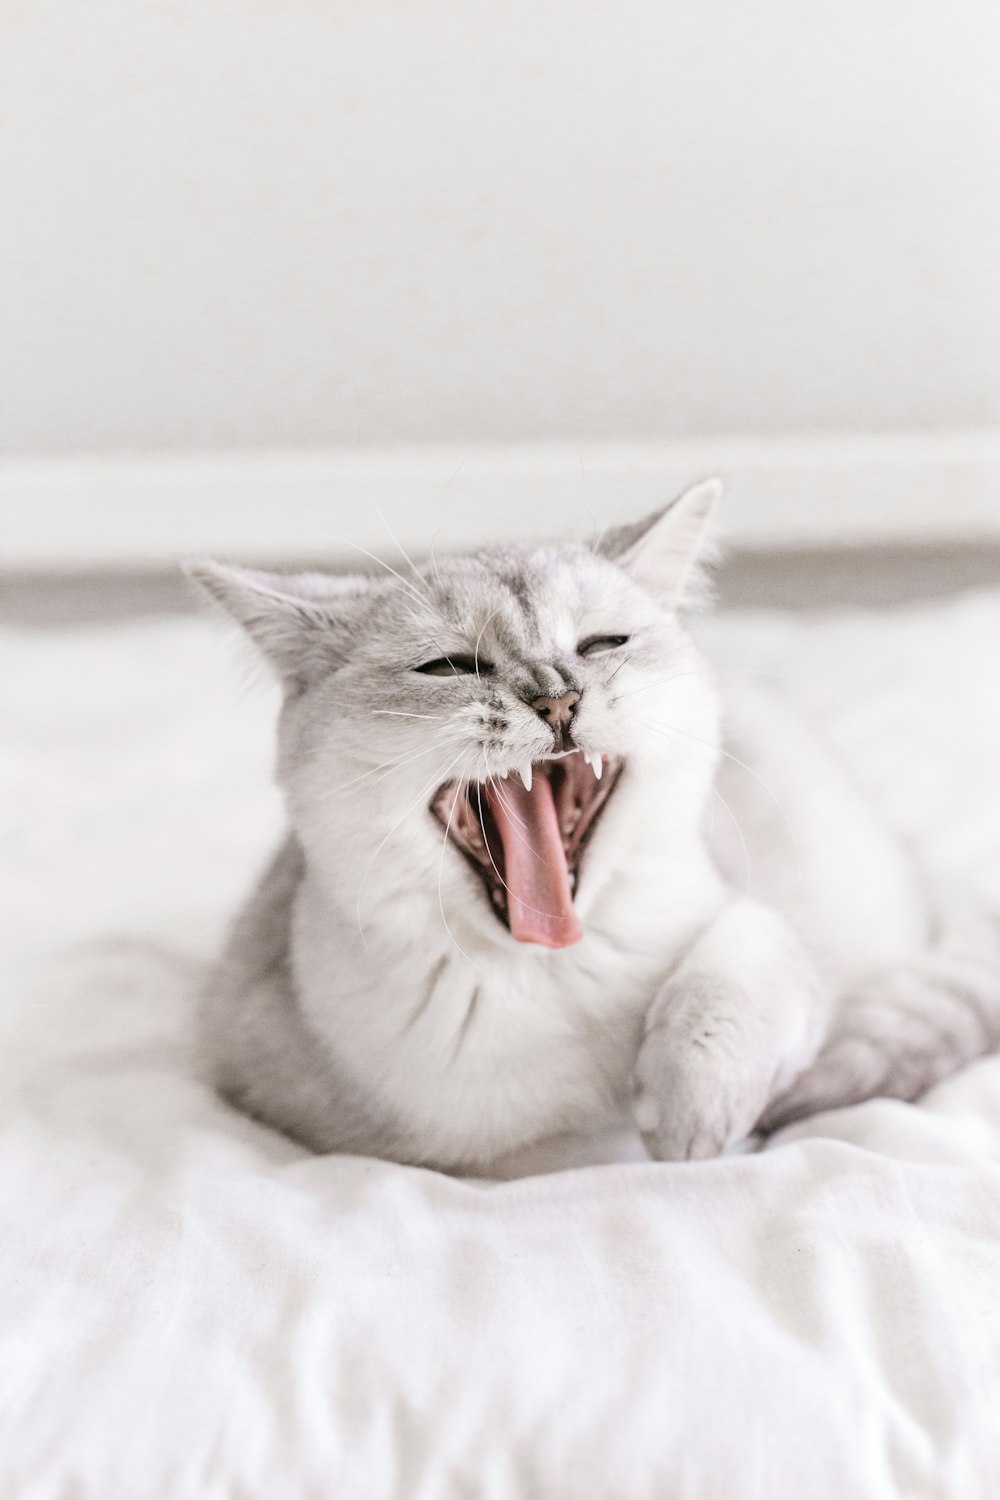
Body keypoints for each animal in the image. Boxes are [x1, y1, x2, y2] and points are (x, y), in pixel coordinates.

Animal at [185, 480, 1000, 1170]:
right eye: (450, 667)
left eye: (602, 645)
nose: (556, 699)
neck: (559, 967)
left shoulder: (773, 924)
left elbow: (742, 961)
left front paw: (686, 1114)